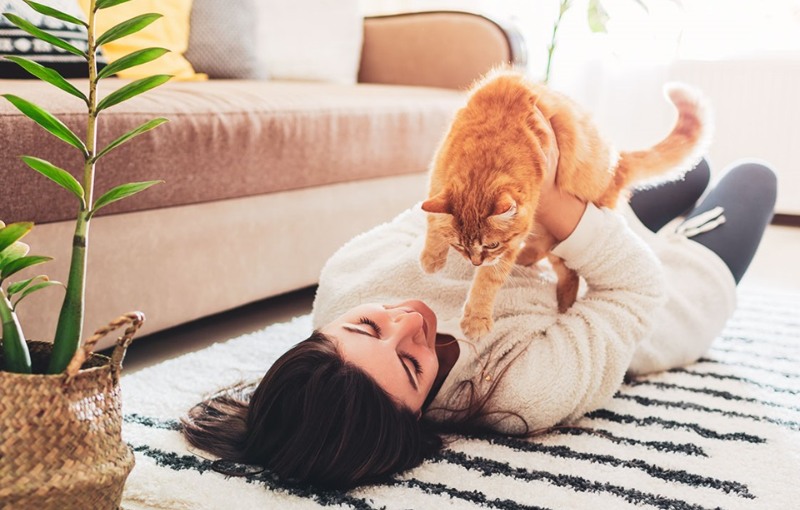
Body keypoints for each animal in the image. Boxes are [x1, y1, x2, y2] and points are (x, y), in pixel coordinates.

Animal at [422, 68, 708, 338]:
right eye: (459, 245)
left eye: (491, 245)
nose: (475, 263)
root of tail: (617, 164)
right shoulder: (437, 176)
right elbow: (433, 221)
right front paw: (431, 258)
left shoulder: (509, 243)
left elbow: (489, 281)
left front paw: (476, 318)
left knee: (569, 273)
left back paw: (563, 305)